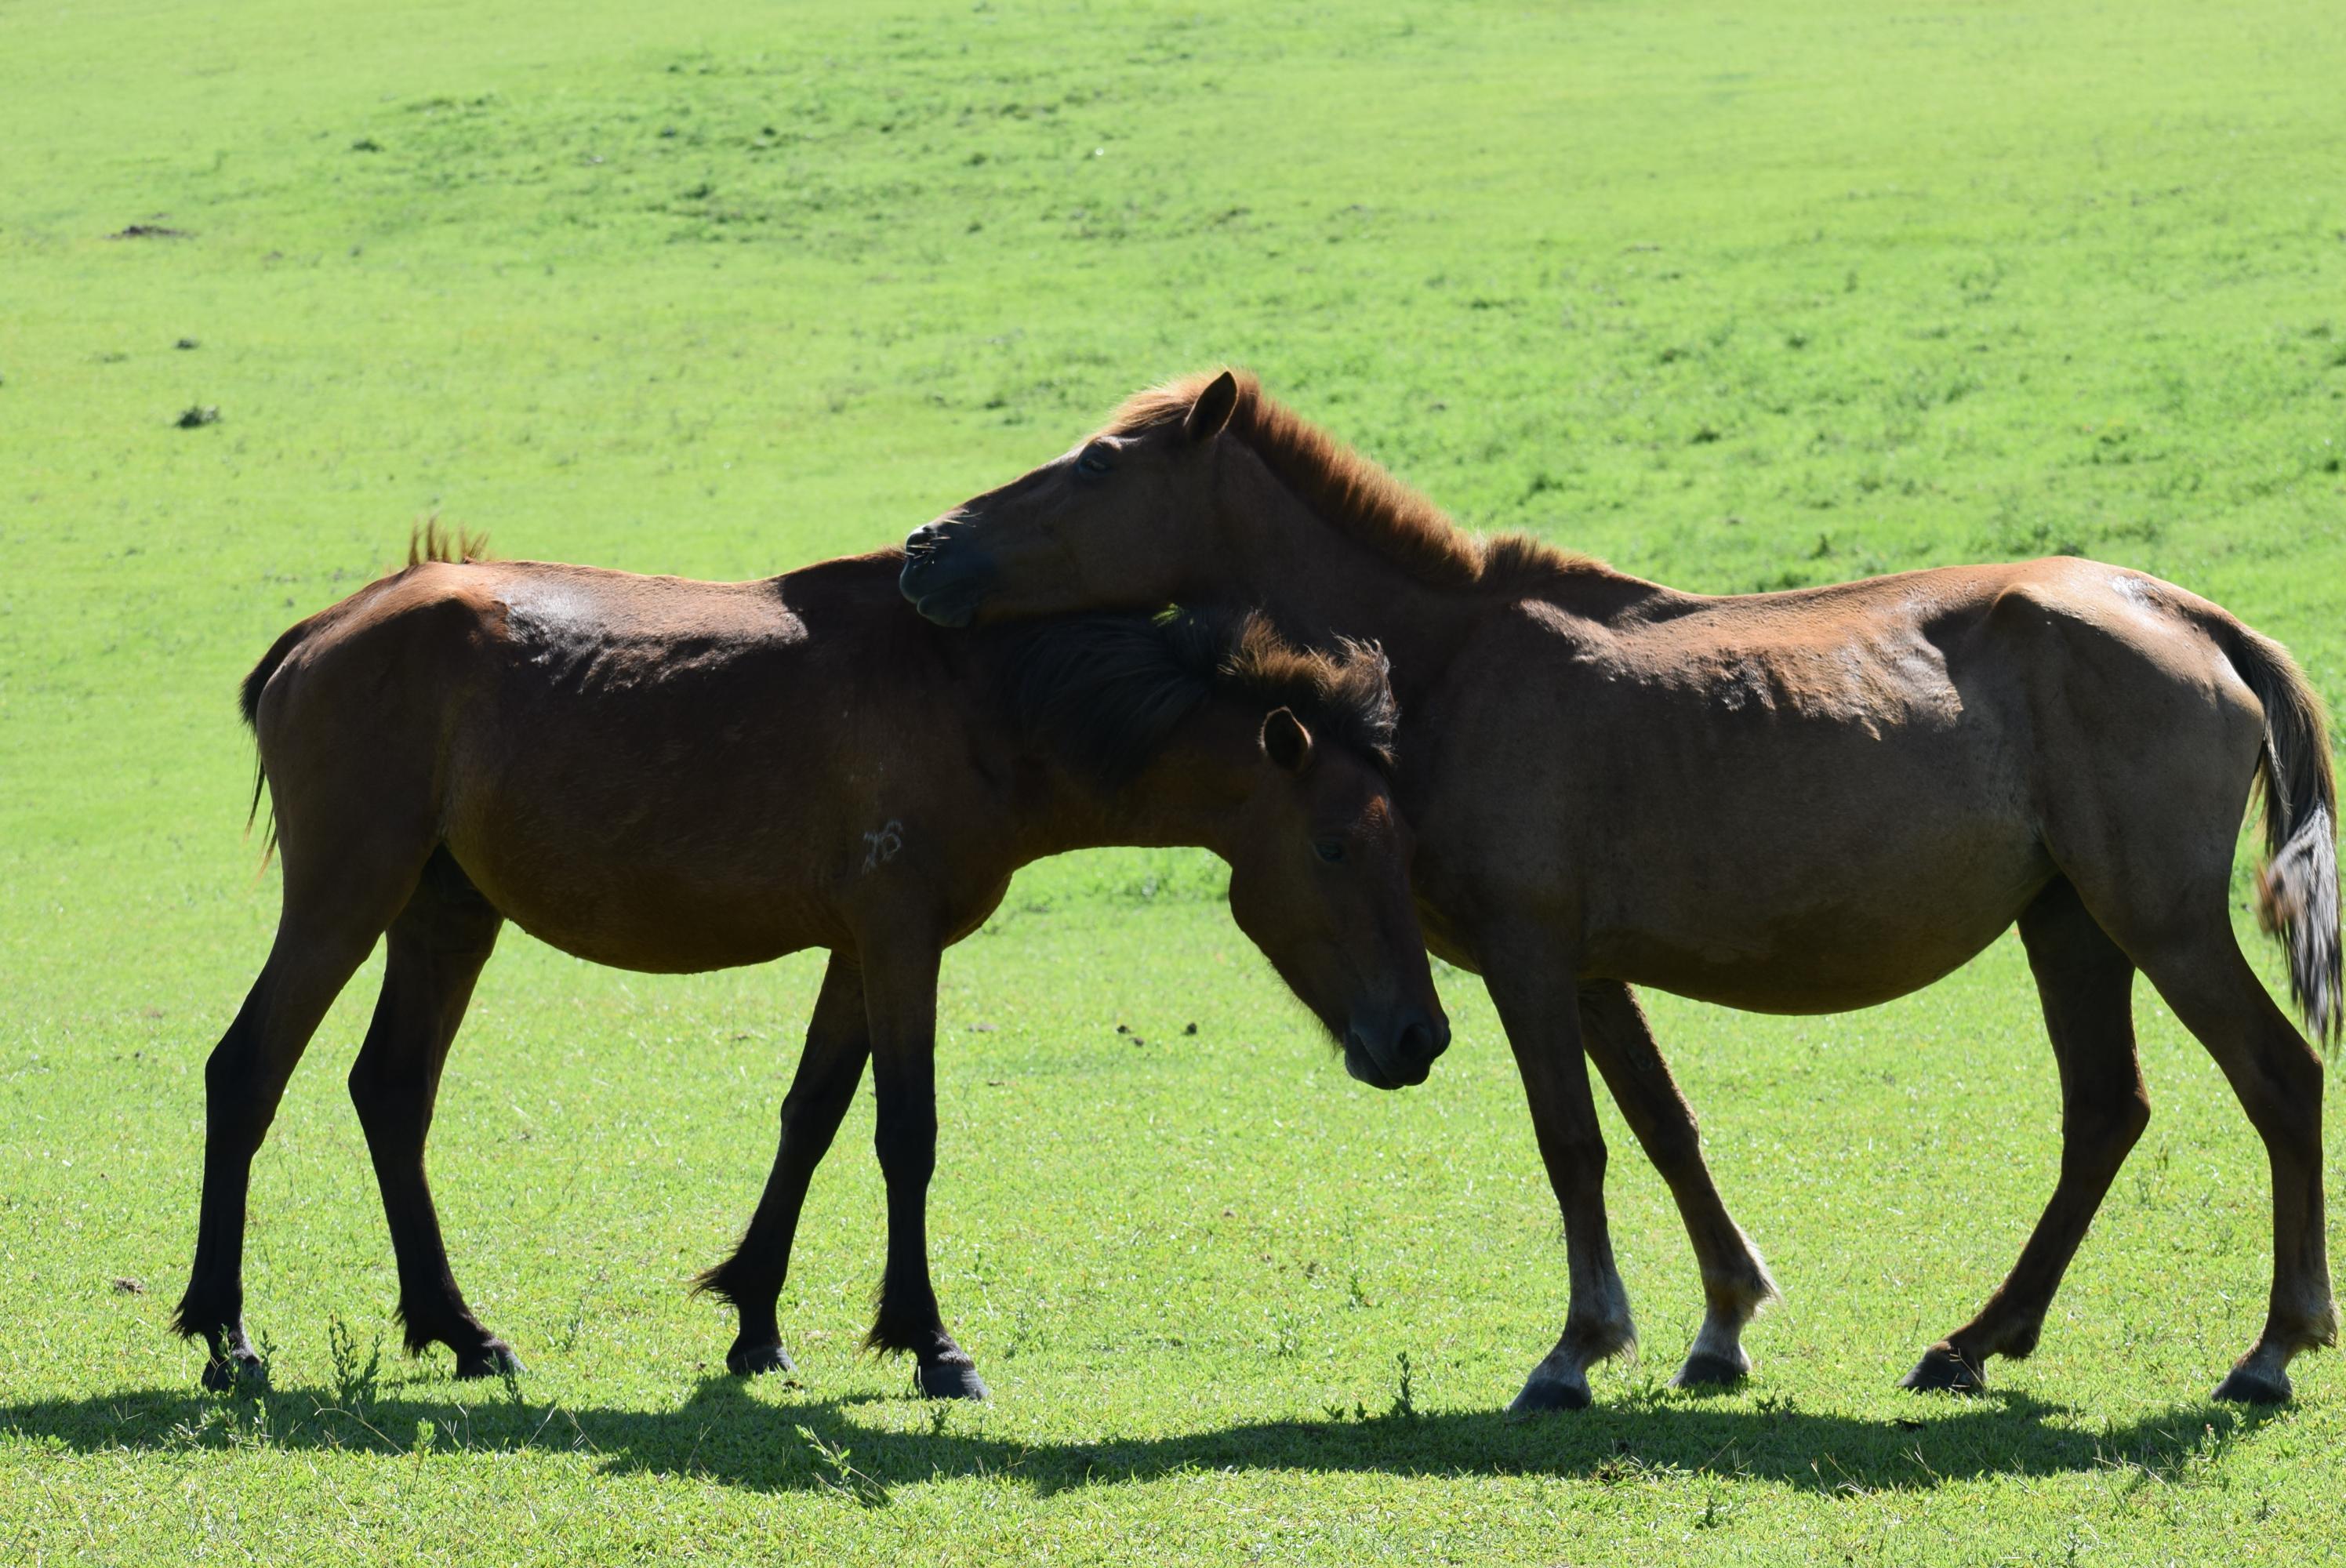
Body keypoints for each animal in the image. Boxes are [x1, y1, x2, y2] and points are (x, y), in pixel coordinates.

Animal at [169, 539, 1445, 1399]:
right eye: (1336, 845)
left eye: (1404, 845)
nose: (1419, 1037)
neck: (984, 699)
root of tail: (314, 638)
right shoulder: (898, 936)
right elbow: (904, 1135)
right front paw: (931, 1343)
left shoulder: (855, 946)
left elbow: (812, 1118)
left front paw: (755, 1319)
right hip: (347, 895)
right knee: (247, 1073)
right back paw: (225, 1332)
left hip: (445, 911)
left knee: (391, 1092)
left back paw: (461, 1328)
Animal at [900, 371, 2346, 1408]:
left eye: (1096, 465)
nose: (924, 546)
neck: (1454, 665)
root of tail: (2184, 612)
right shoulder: (1591, 973)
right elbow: (1663, 1130)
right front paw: (1721, 1326)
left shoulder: (1529, 959)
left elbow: (1573, 1144)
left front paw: (1578, 1348)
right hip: (2069, 923)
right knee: (2103, 1114)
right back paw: (1977, 1340)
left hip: (2157, 922)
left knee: (2277, 1080)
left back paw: (2272, 1350)